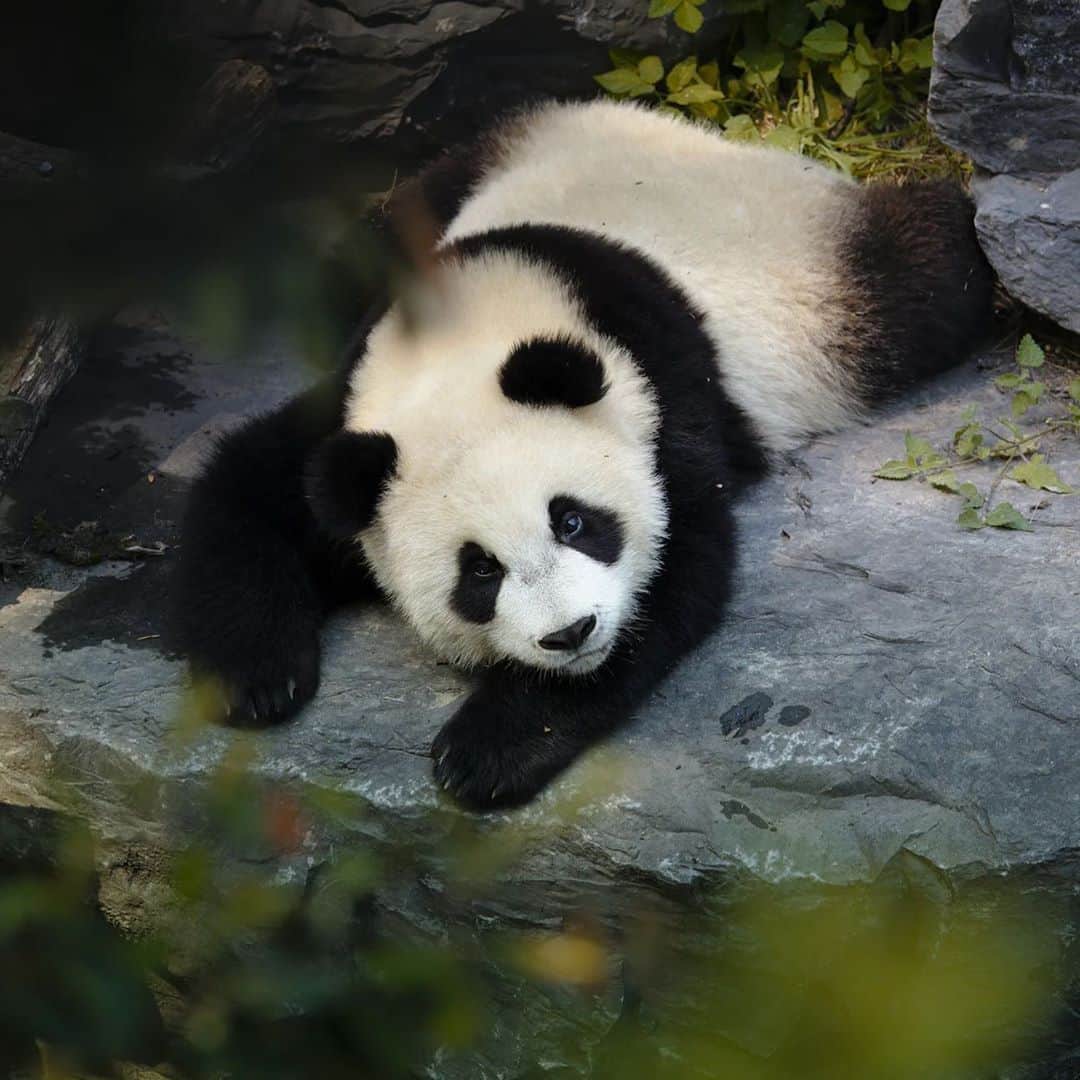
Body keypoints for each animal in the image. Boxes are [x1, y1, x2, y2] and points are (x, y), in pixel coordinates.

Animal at [172, 99, 993, 809]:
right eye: (479, 571)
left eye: (572, 521)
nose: (571, 635)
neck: (476, 330)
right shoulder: (355, 407)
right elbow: (249, 485)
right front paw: (256, 676)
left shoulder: (661, 395)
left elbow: (678, 569)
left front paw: (487, 750)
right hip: (475, 161)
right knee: (363, 240)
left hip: (832, 286)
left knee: (929, 268)